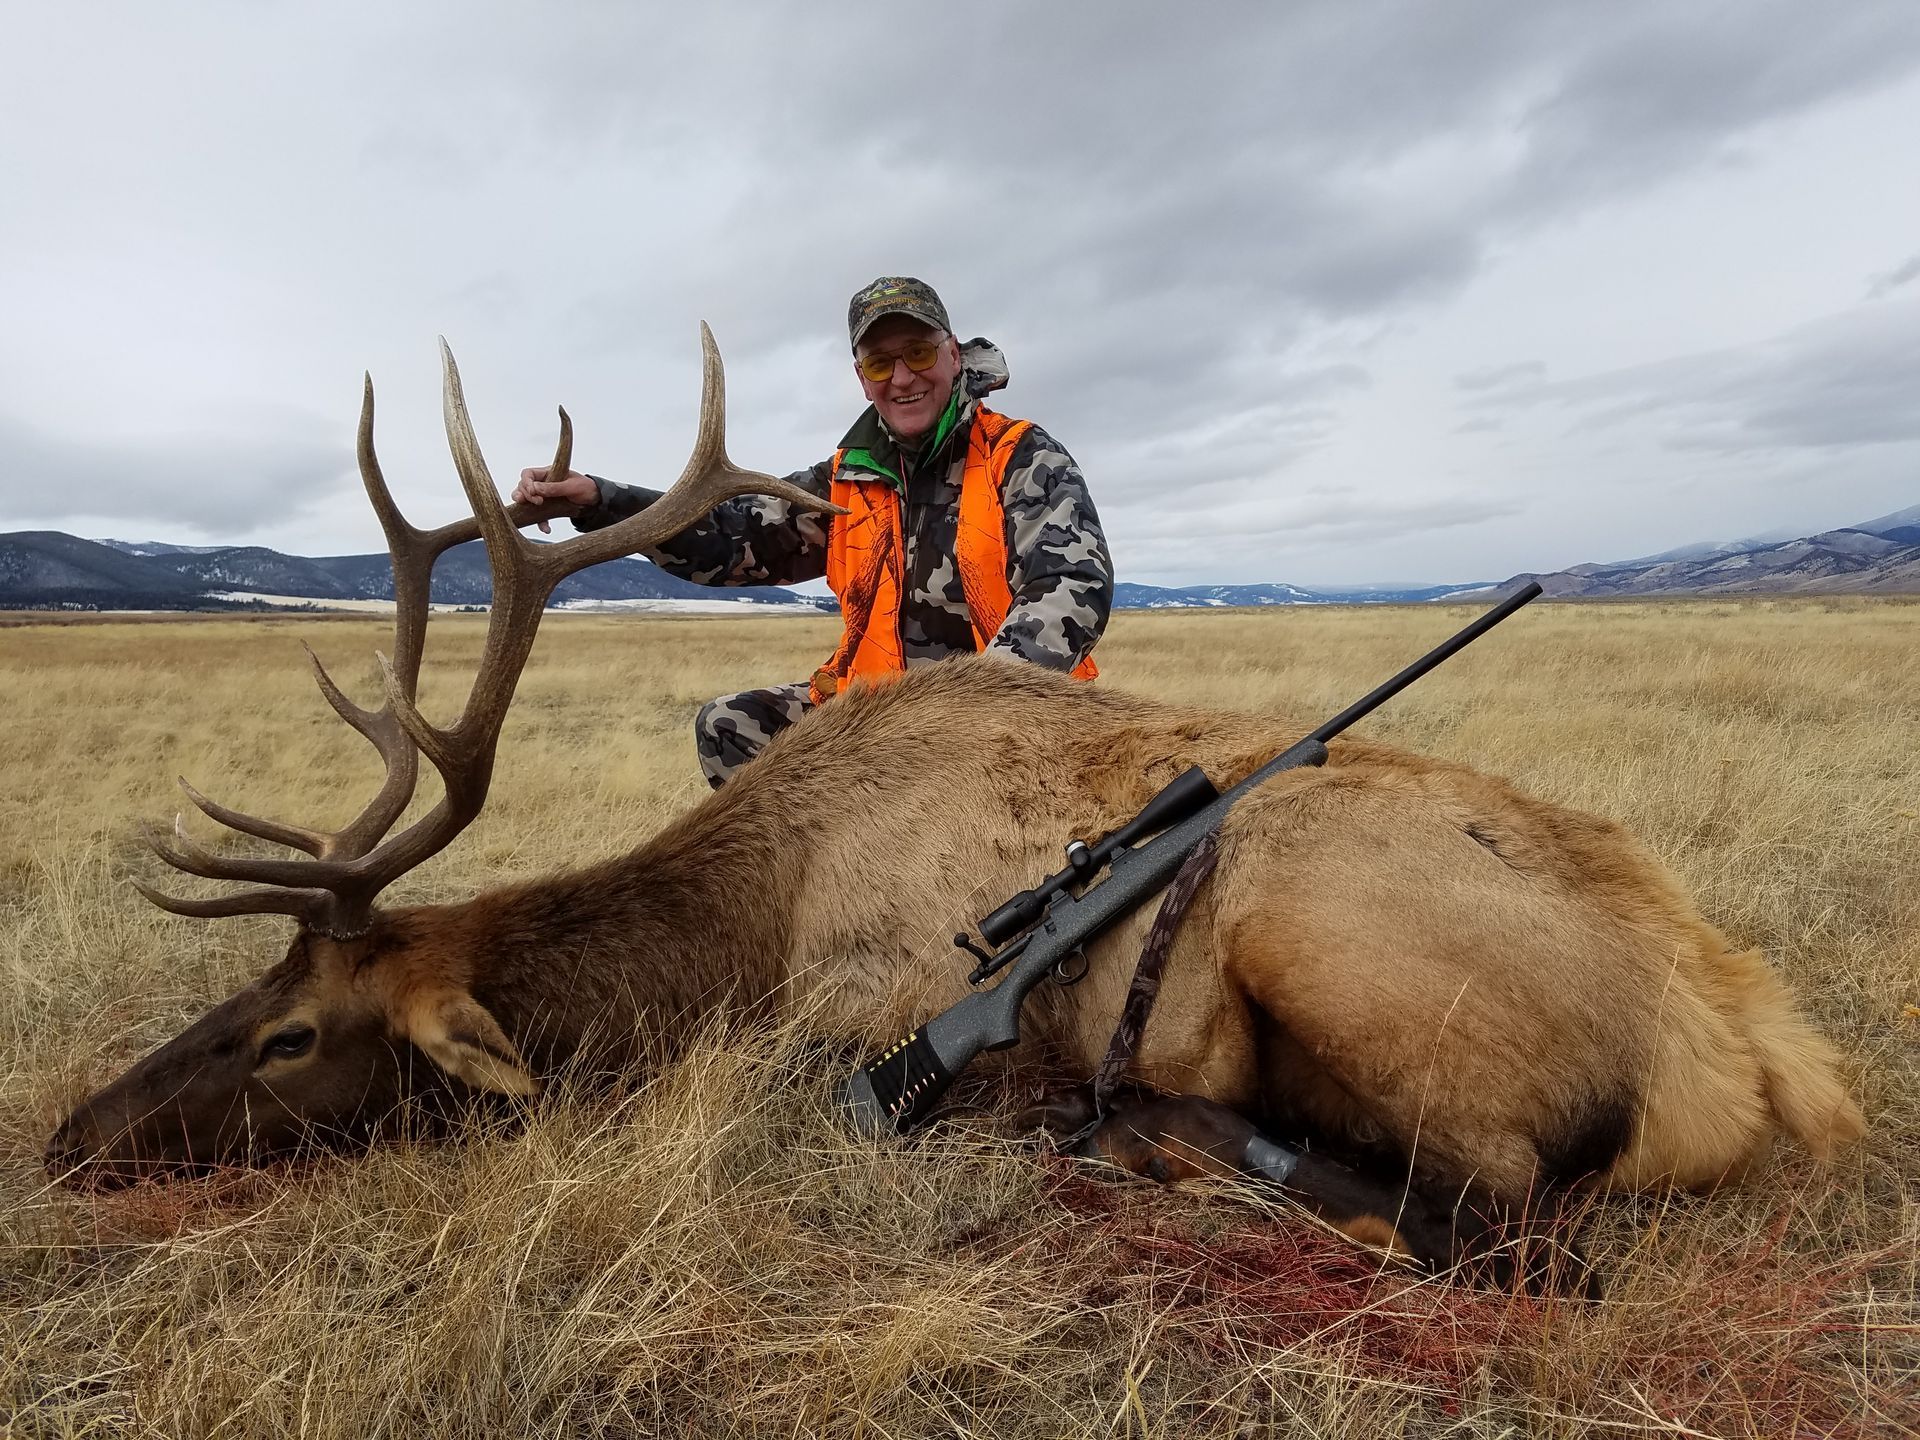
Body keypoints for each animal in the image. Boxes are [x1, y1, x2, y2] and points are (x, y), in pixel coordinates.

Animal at [46, 331, 1864, 1281]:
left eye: (292, 1036)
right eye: (248, 988)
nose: (70, 1135)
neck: (747, 919)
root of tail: (1755, 1056)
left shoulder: (855, 1011)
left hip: (1336, 940)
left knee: (1506, 1229)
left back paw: (1154, 1133)